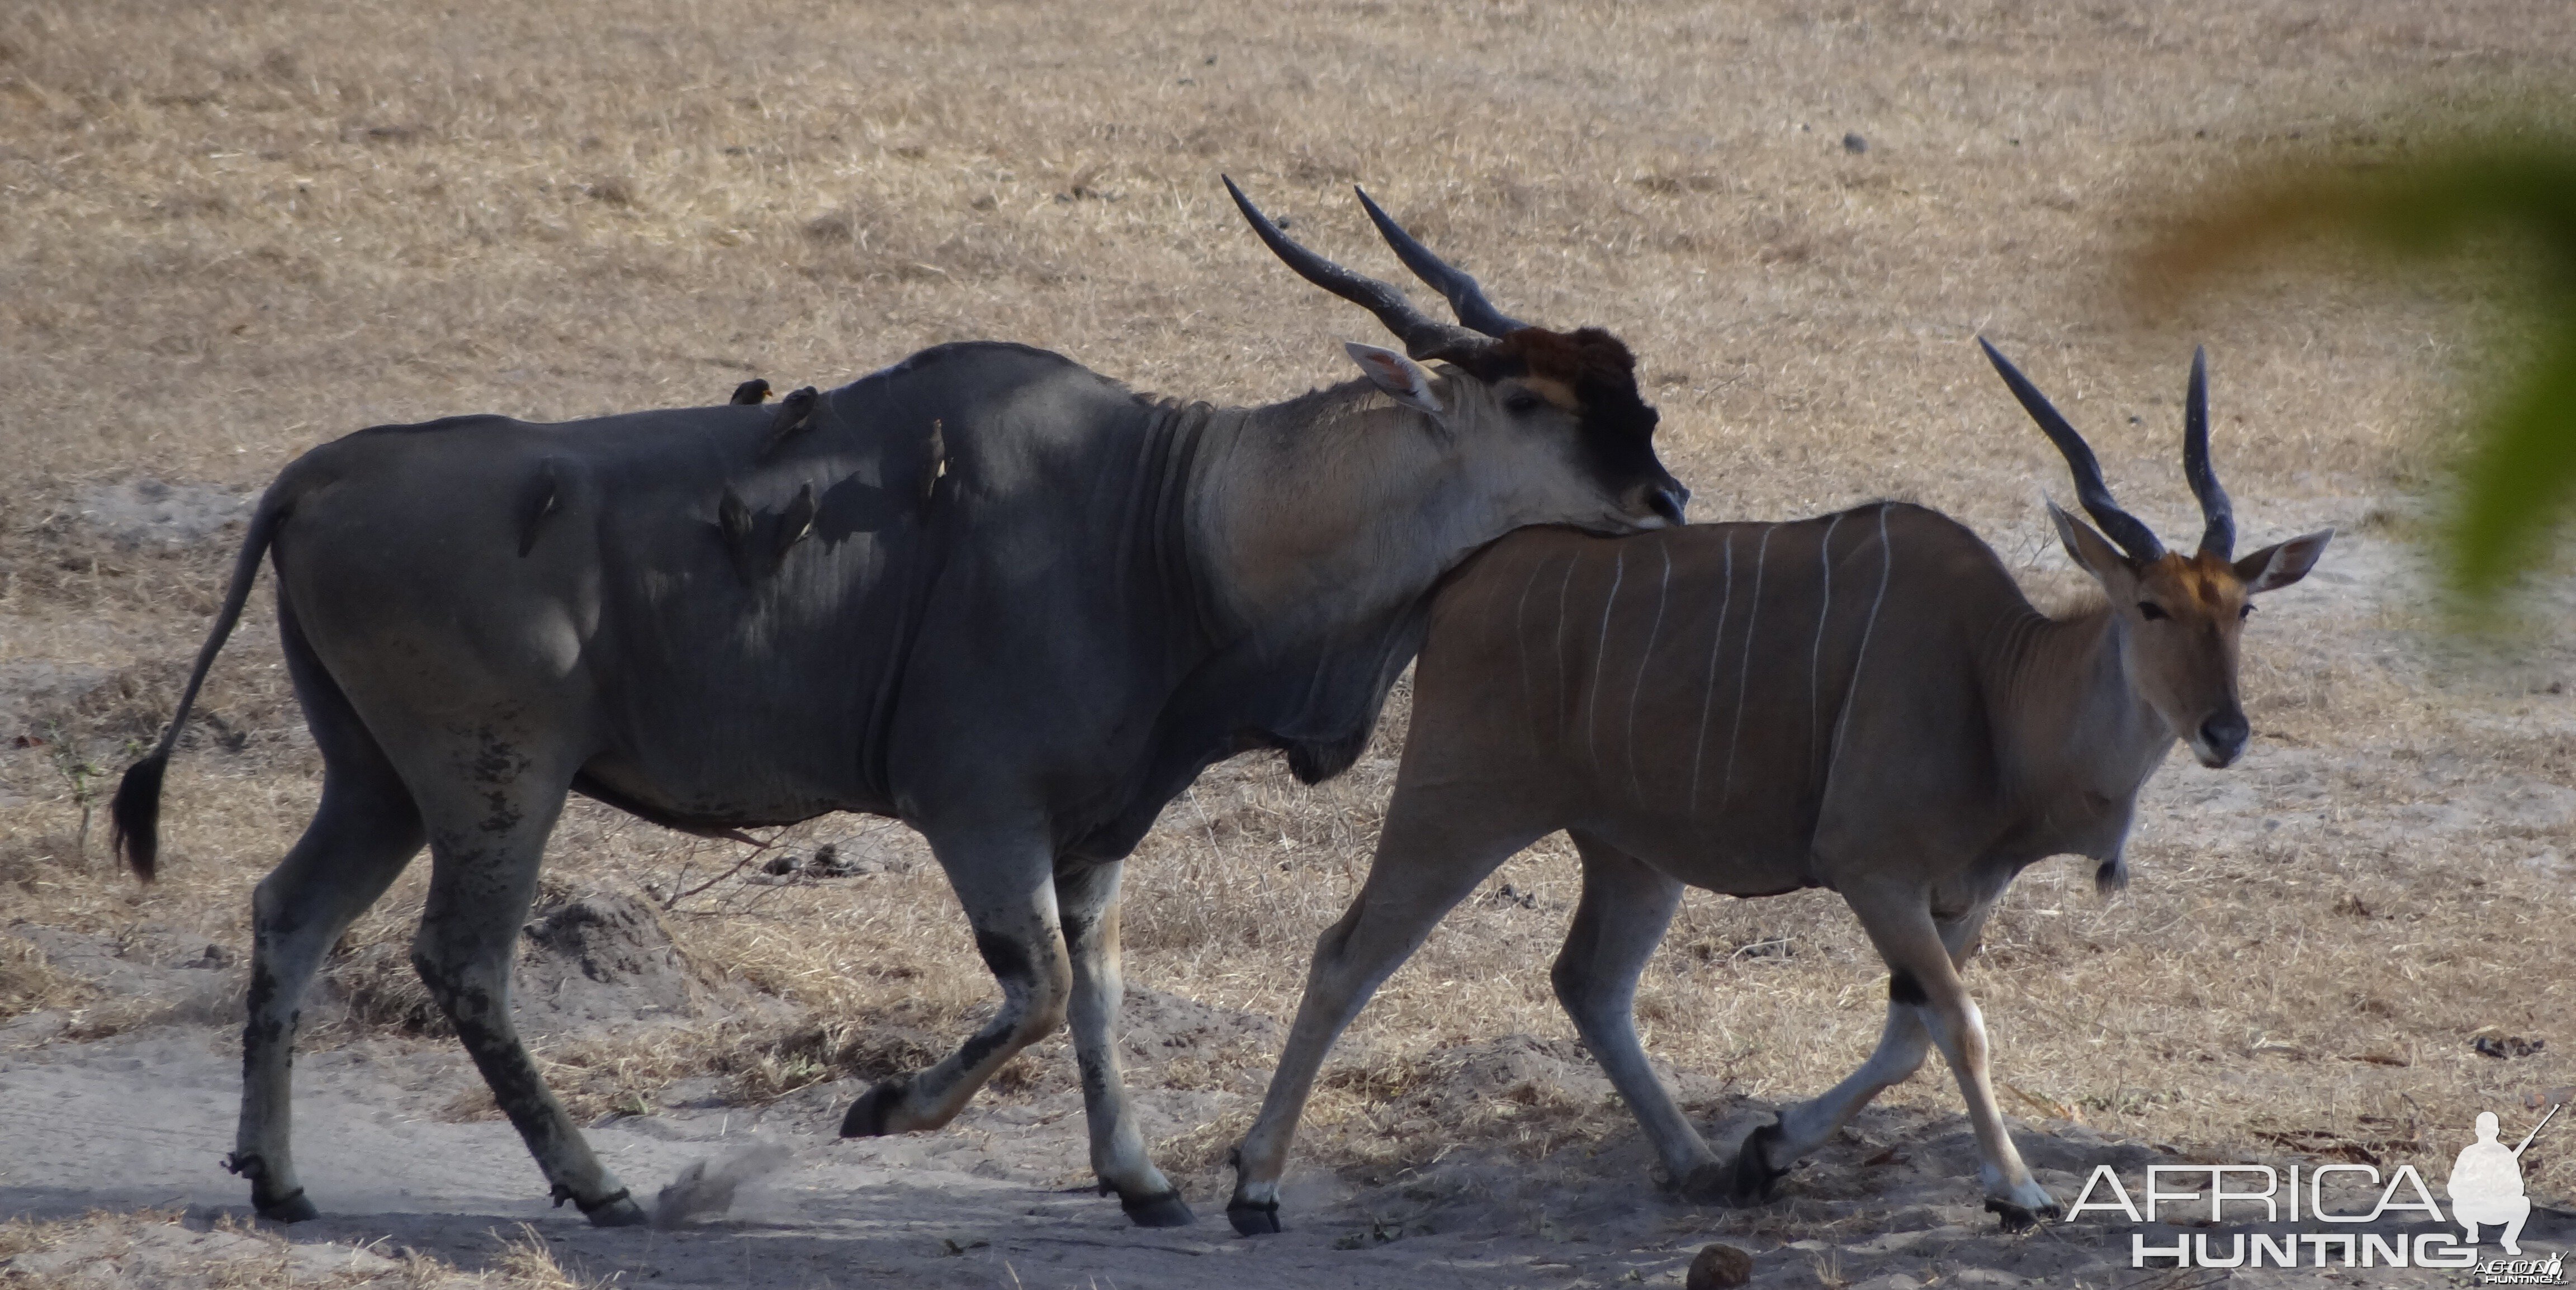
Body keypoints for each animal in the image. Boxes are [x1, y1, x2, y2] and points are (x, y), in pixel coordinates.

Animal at [116, 176, 1689, 1220]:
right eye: (1534, 404)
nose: (1672, 499)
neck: (1167, 518)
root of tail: (314, 476)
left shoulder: (1090, 835)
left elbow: (1098, 989)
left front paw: (1140, 1177)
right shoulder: (978, 812)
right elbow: (1038, 987)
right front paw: (881, 1108)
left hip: (377, 780)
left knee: (291, 911)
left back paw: (281, 1179)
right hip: (495, 779)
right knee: (463, 957)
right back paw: (604, 1184)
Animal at [1221, 340, 2339, 1225]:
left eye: (2240, 609)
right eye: (2150, 607)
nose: (2225, 730)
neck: (1997, 675)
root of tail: (1467, 574)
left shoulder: (1959, 899)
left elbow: (1909, 1036)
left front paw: (1769, 1148)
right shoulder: (1873, 873)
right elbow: (1959, 1027)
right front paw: (2016, 1188)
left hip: (1631, 854)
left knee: (1588, 979)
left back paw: (1696, 1165)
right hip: (1455, 808)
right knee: (1347, 955)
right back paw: (1255, 1184)